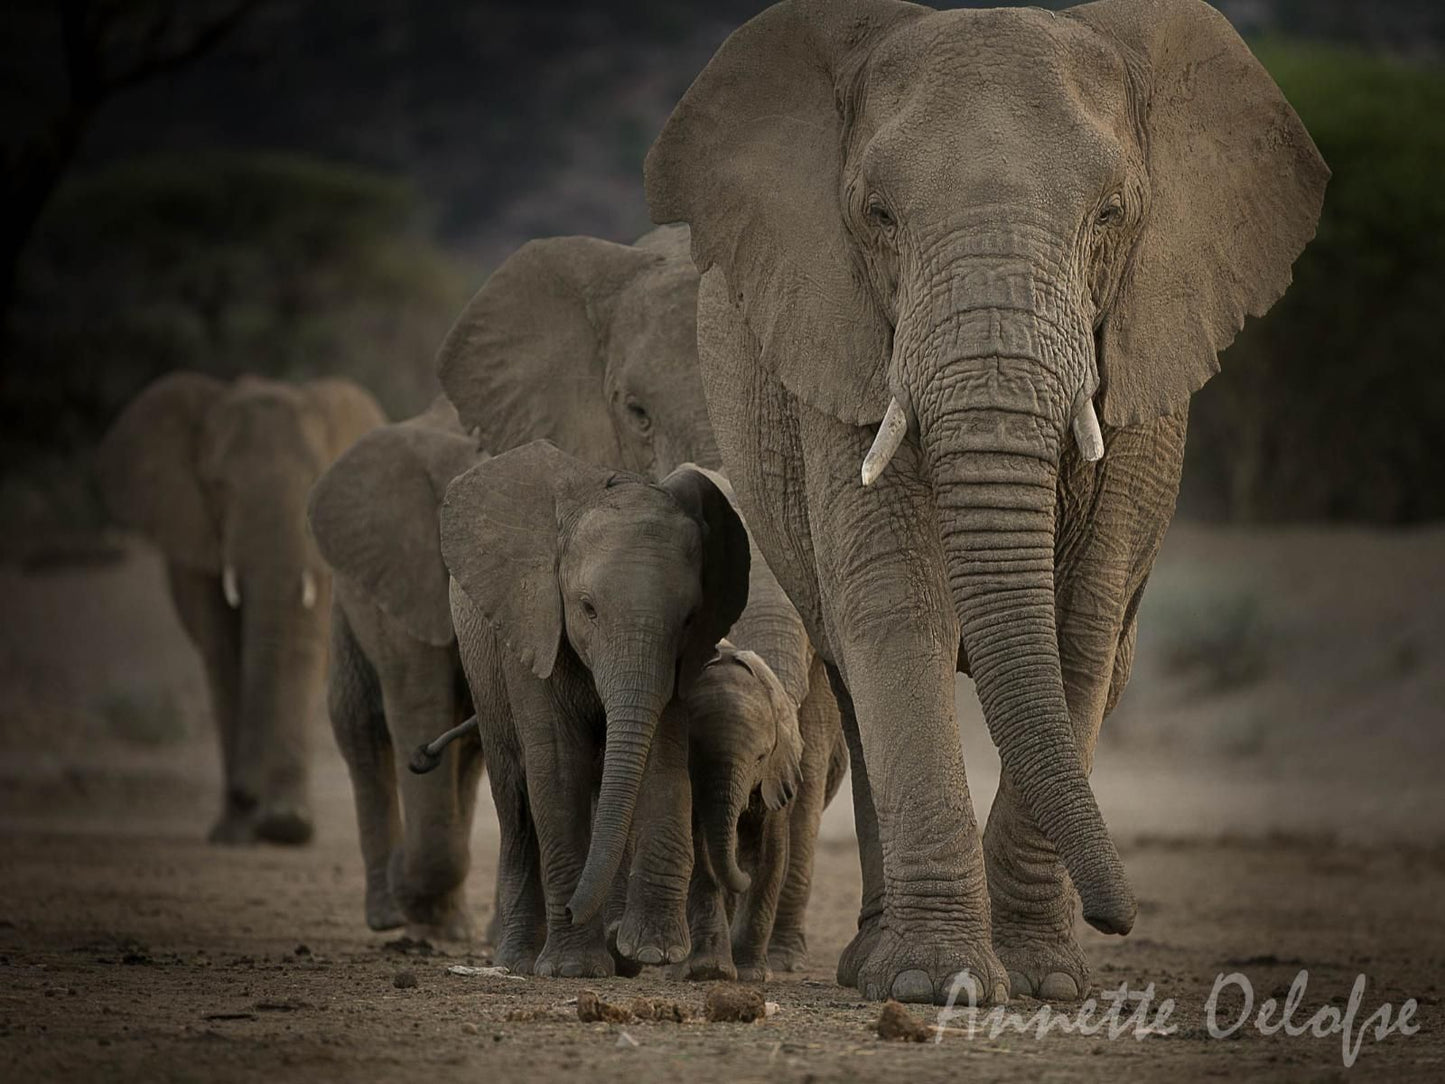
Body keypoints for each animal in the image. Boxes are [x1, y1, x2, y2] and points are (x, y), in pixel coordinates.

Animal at [304, 398, 485, 942]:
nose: (422, 757)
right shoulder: (405, 574)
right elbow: (415, 700)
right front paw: (407, 887)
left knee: (470, 749)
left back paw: (451, 927)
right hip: (347, 601)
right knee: (360, 727)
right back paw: (391, 916)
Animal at [445, 436, 751, 982]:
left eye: (690, 617)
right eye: (587, 608)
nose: (570, 910)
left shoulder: (678, 661)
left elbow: (661, 760)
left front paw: (653, 953)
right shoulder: (532, 626)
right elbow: (556, 765)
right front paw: (573, 968)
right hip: (482, 670)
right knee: (515, 800)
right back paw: (519, 958)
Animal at [650, 0, 1323, 1005]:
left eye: (1110, 214)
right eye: (878, 215)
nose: (1120, 917)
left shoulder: (1143, 382)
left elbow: (1079, 624)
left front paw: (1043, 983)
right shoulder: (840, 352)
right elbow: (898, 610)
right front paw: (938, 986)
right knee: (853, 683)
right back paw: (871, 965)